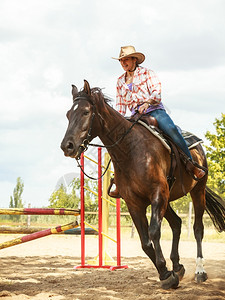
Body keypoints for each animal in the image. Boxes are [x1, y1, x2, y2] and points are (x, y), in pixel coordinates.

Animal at [61, 79, 225, 288]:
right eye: (68, 114)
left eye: (86, 112)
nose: (67, 146)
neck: (130, 150)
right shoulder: (135, 203)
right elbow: (145, 242)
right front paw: (167, 273)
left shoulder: (157, 194)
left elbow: (154, 232)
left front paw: (166, 273)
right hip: (168, 199)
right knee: (177, 223)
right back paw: (178, 267)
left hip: (197, 191)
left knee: (197, 229)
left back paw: (200, 271)